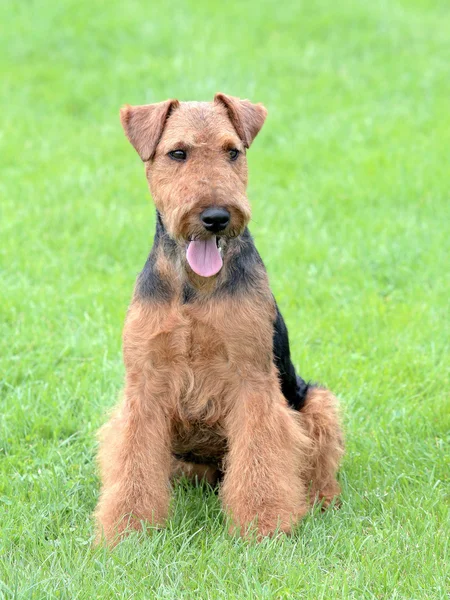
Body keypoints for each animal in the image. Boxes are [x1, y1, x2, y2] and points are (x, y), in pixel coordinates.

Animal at [94, 94, 342, 544]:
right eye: (177, 153)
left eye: (233, 152)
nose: (216, 217)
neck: (194, 288)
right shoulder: (145, 382)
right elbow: (134, 460)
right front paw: (128, 529)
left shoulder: (251, 378)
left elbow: (262, 456)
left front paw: (263, 526)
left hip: (317, 401)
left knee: (318, 462)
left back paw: (321, 500)